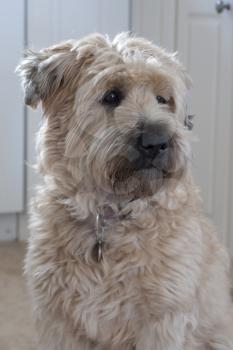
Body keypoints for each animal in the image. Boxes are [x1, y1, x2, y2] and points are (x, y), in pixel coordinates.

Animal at [16, 33, 233, 350]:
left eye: (163, 99)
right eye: (111, 96)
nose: (156, 142)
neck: (109, 215)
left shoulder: (162, 320)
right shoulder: (60, 322)